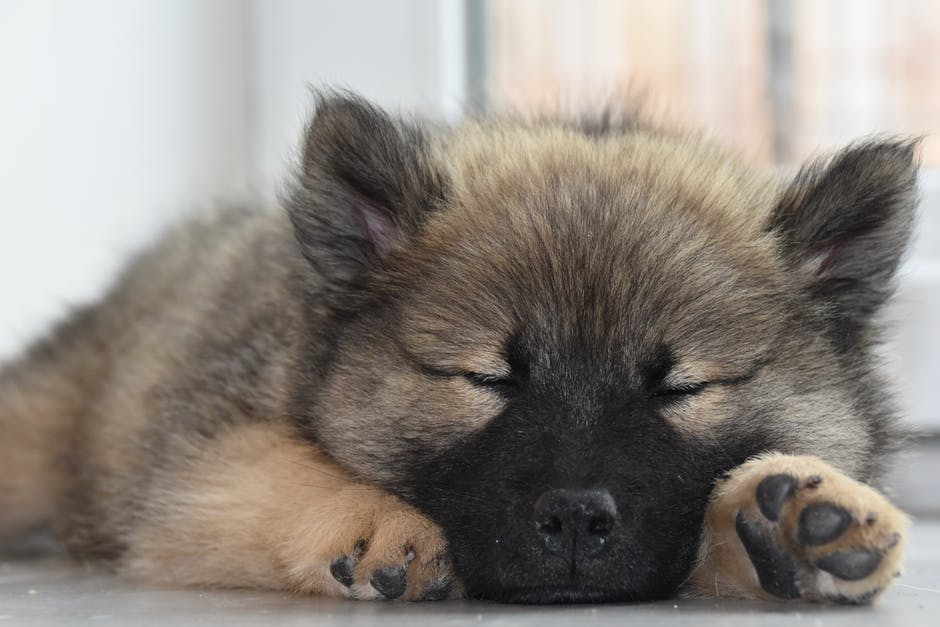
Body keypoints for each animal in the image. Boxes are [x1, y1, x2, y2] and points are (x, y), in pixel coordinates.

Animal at [0, 91, 916, 604]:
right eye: (486, 377)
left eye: (678, 388)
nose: (576, 517)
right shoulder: (198, 470)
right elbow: (282, 468)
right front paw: (379, 525)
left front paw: (793, 519)